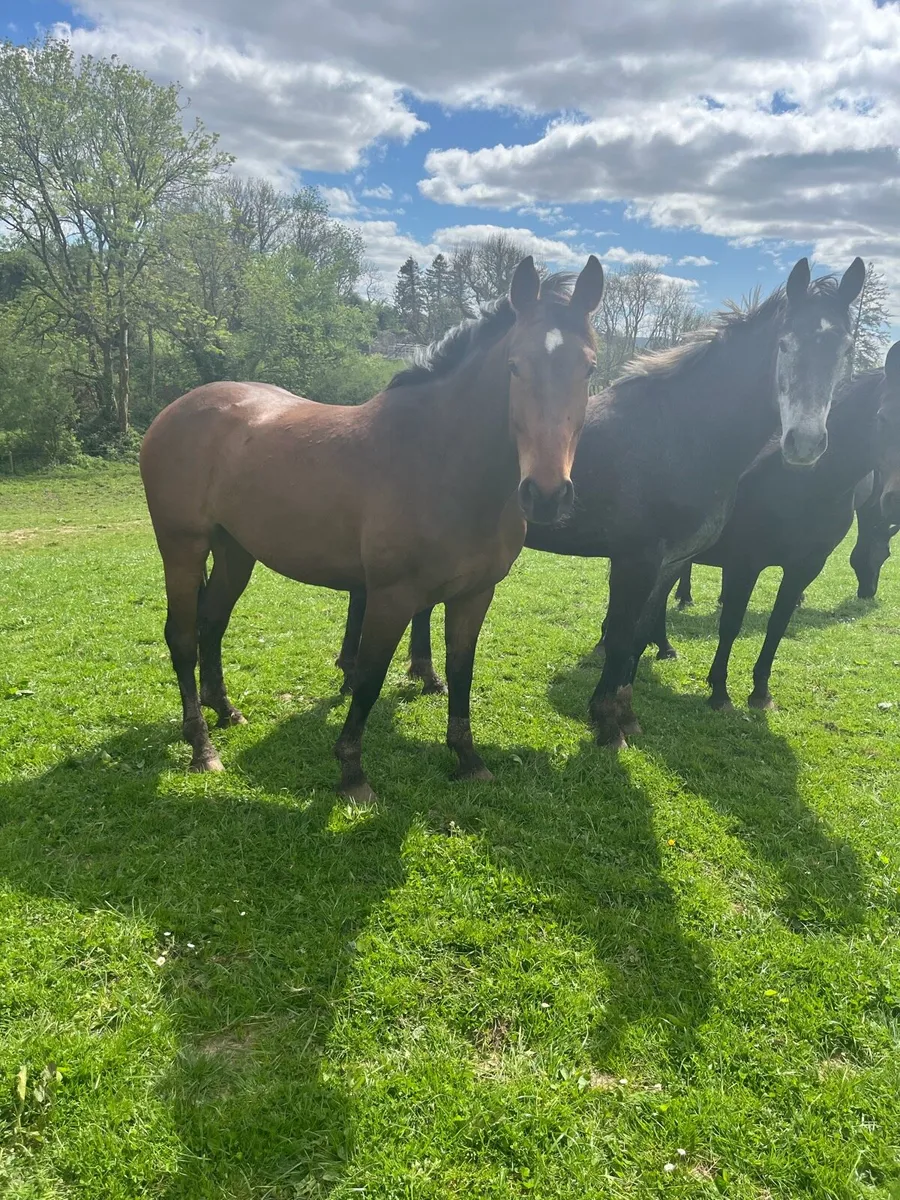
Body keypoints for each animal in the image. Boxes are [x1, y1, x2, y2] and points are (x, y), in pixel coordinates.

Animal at [140, 256, 605, 801]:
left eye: (589, 368)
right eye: (514, 365)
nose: (547, 494)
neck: (441, 462)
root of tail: (175, 410)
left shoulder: (475, 594)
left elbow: (461, 670)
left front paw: (468, 758)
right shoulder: (390, 596)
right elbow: (367, 676)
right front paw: (352, 773)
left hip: (236, 550)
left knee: (213, 622)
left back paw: (226, 710)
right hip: (182, 548)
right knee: (183, 637)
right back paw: (201, 747)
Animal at [337, 258, 866, 748]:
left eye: (845, 349)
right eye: (785, 344)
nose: (804, 443)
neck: (684, 432)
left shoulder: (671, 563)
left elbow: (638, 637)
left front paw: (623, 715)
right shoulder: (635, 559)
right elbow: (620, 639)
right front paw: (609, 725)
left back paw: (425, 674)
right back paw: (351, 671)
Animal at [671, 340, 900, 712]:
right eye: (882, 418)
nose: (894, 499)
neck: (803, 483)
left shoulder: (804, 568)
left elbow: (778, 625)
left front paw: (760, 693)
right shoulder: (743, 565)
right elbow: (731, 623)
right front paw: (719, 691)